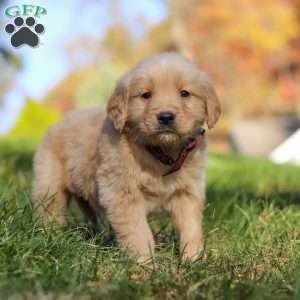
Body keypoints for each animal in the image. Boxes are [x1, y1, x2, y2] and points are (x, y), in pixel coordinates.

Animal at [32, 52, 220, 262]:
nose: (165, 117)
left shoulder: (187, 192)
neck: (161, 152)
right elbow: (138, 232)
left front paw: (194, 259)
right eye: (146, 95)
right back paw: (50, 235)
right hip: (49, 185)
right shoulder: (123, 193)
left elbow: (191, 227)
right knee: (50, 209)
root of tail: (59, 120)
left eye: (185, 93)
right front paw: (144, 262)